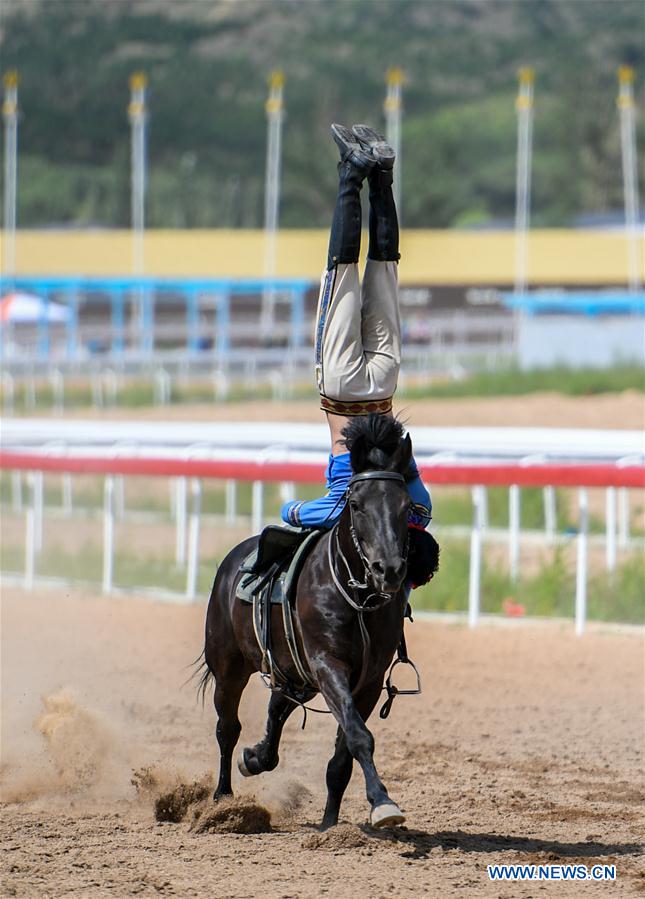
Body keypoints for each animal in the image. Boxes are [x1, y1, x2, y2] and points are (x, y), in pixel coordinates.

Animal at [201, 414, 422, 828]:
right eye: (356, 504)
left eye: (406, 505)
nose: (389, 570)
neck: (357, 596)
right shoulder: (327, 664)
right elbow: (359, 736)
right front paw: (384, 803)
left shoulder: (368, 680)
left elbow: (344, 752)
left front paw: (330, 824)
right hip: (229, 665)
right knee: (227, 728)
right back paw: (223, 798)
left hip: (293, 673)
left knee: (277, 708)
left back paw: (257, 758)